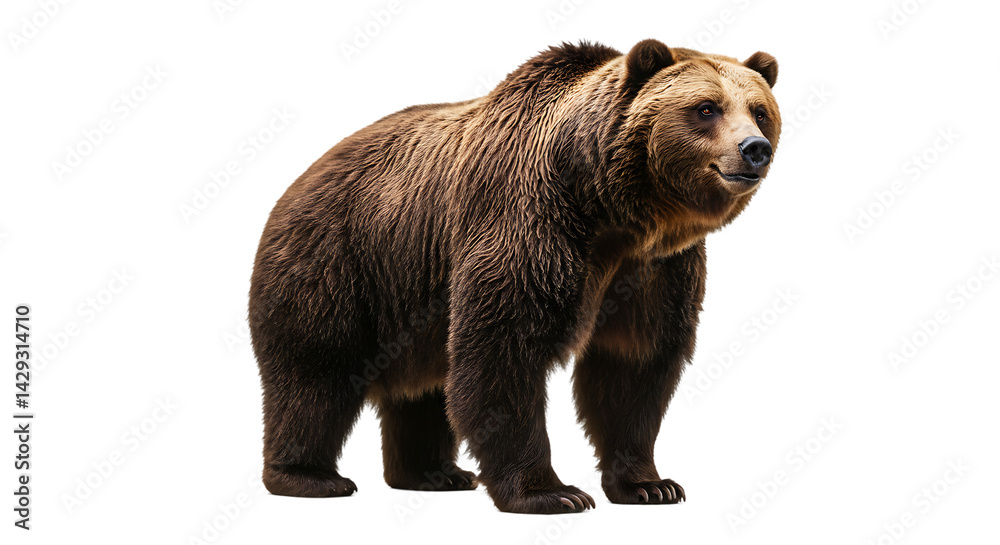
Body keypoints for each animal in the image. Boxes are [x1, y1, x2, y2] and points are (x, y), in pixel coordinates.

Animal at [249, 39, 781, 514]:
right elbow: (504, 349)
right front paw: (551, 493)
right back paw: (311, 477)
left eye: (759, 111)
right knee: (315, 372)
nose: (754, 148)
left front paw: (652, 485)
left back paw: (434, 473)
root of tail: (298, 180)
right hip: (339, 262)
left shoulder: (657, 268)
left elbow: (633, 363)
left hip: (411, 292)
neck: (611, 209)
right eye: (706, 108)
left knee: (423, 386)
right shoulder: (527, 222)